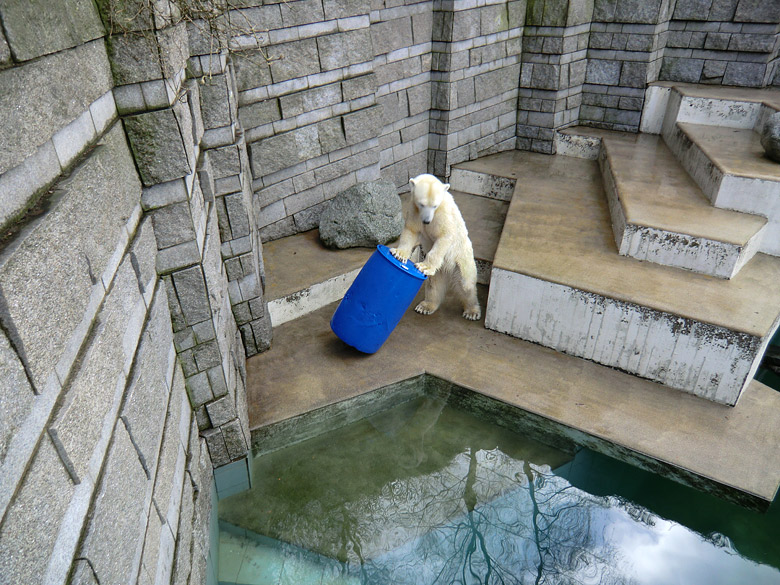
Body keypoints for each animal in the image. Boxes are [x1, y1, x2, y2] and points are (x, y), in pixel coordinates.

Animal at [386, 173, 478, 320]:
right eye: (422, 204)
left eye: (434, 206)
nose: (427, 221)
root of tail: (448, 270)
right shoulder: (414, 210)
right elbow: (411, 230)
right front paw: (399, 254)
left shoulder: (443, 214)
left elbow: (444, 236)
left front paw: (423, 266)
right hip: (439, 271)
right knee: (433, 285)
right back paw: (425, 306)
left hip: (462, 257)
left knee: (466, 284)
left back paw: (472, 311)